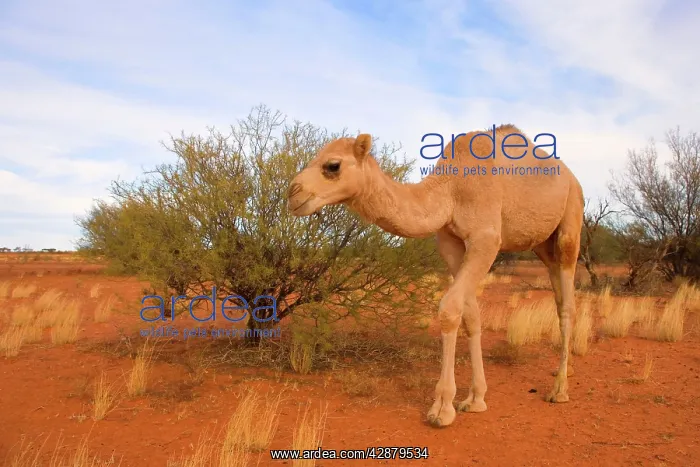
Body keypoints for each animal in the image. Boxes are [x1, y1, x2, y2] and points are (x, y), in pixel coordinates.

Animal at [287, 124, 584, 427]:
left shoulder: (486, 238)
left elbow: (450, 309)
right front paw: (475, 399)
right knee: (558, 293)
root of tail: (571, 177)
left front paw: (442, 407)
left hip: (571, 220)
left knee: (567, 304)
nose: (293, 193)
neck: (450, 190)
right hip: (543, 245)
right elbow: (471, 315)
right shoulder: (450, 241)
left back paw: (559, 389)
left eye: (332, 166)